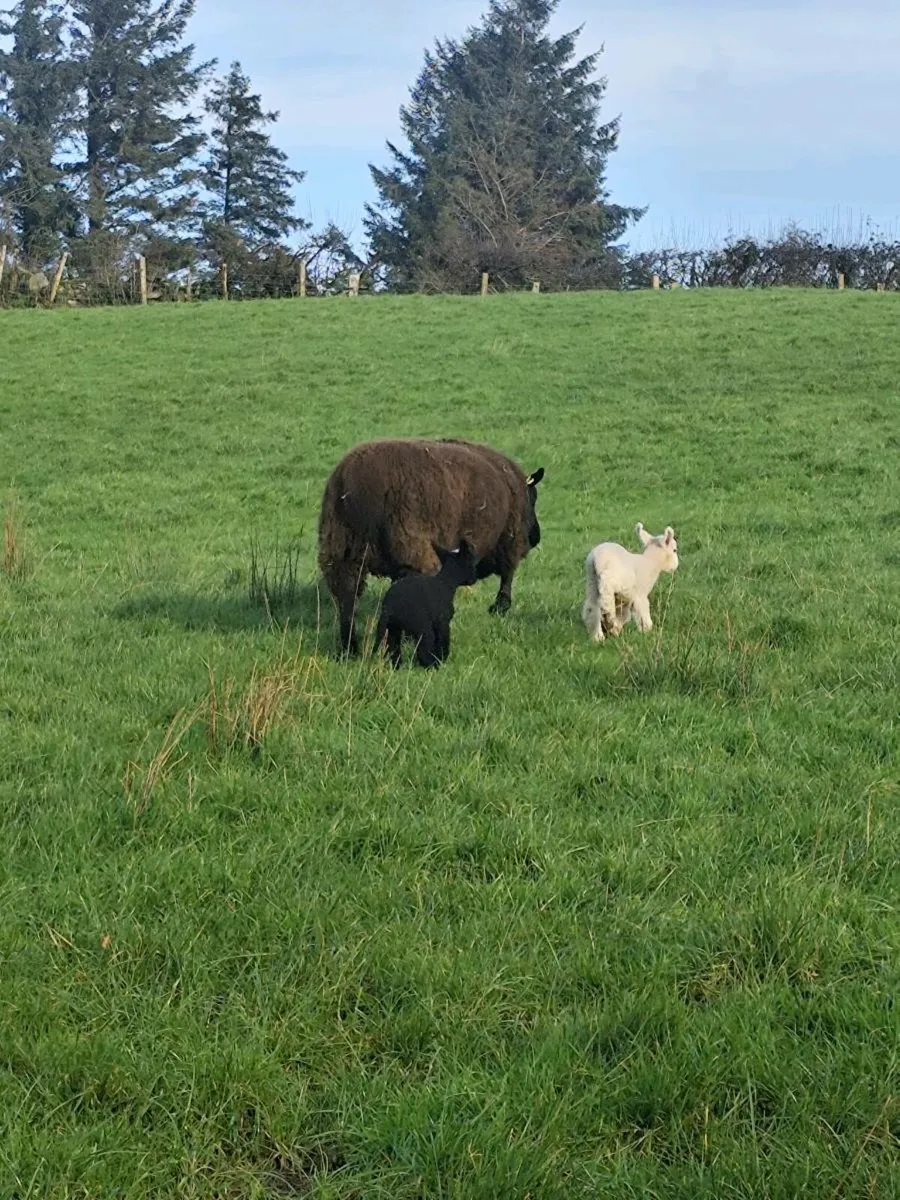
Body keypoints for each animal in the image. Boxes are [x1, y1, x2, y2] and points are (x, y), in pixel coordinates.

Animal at [318, 437, 544, 655]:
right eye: (534, 499)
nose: (536, 537)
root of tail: (362, 492)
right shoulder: (510, 539)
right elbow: (508, 575)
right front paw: (500, 607)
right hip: (413, 547)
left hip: (342, 553)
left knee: (347, 601)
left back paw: (349, 648)